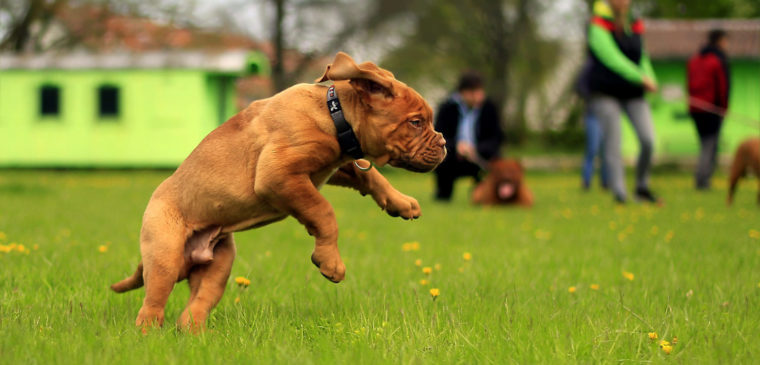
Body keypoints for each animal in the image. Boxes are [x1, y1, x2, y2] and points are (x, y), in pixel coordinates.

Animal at [110, 53, 448, 330]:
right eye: (416, 122)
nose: (445, 143)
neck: (334, 114)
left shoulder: (331, 167)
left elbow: (370, 175)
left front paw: (400, 203)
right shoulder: (279, 174)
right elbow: (324, 212)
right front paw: (330, 261)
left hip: (218, 265)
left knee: (195, 307)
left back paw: (196, 334)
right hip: (165, 256)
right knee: (152, 307)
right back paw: (151, 336)